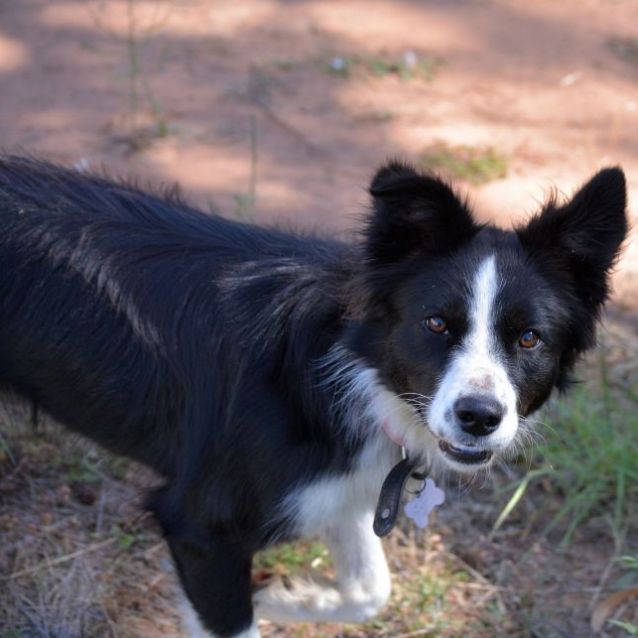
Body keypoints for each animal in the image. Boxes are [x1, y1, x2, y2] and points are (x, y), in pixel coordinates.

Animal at [0, 158, 632, 636]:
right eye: (435, 324)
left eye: (529, 338)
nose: (479, 417)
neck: (341, 369)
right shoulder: (201, 526)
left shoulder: (338, 485)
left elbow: (372, 588)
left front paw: (287, 595)